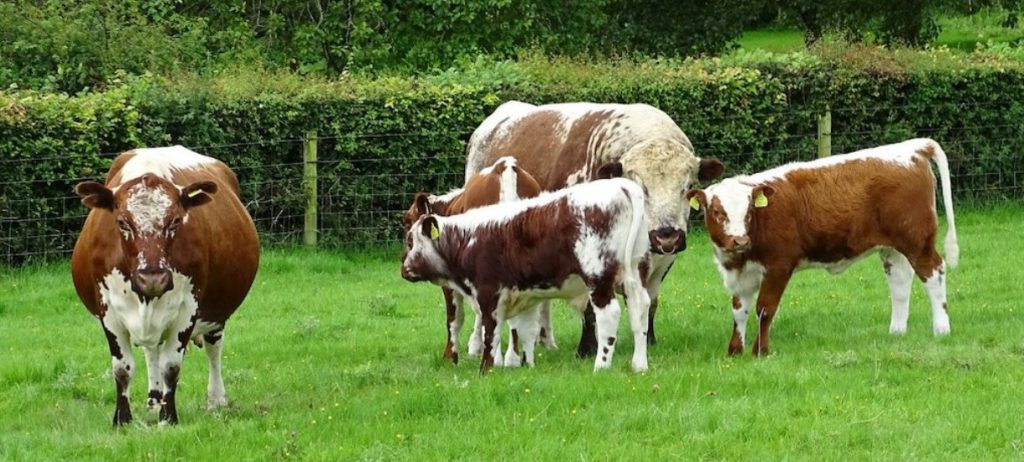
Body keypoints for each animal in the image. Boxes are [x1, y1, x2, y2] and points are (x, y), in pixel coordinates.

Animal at [71, 146, 260, 426]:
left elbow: (171, 366)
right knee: (152, 351)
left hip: (217, 310)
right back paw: (153, 400)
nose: (153, 278)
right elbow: (123, 368)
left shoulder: (188, 310)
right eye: (122, 222)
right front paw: (122, 419)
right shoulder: (109, 312)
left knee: (213, 348)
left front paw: (168, 418)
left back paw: (216, 400)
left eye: (175, 222)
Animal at [401, 178, 652, 373]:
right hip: (634, 271)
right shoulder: (526, 295)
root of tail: (621, 185)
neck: (468, 239)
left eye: (410, 240)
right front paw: (526, 365)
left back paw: (601, 366)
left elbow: (490, 332)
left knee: (609, 315)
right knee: (640, 310)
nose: (403, 269)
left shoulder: (489, 294)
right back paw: (639, 364)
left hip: (598, 277)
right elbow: (526, 330)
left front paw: (486, 369)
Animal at [403, 157, 548, 366]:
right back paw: (512, 358)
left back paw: (500, 359)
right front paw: (476, 348)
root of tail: (505, 166)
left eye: (407, 223)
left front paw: (451, 356)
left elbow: (455, 318)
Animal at [465, 101, 725, 356]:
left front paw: (648, 340)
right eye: (640, 188)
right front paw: (586, 349)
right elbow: (590, 308)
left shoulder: (662, 262)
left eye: (688, 187)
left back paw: (544, 340)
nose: (666, 236)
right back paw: (477, 345)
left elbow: (650, 302)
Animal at [685, 138, 958, 357]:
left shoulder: (778, 266)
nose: (740, 240)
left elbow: (765, 309)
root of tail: (914, 147)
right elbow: (739, 311)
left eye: (749, 212)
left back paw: (941, 329)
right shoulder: (742, 273)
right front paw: (734, 351)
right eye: (717, 212)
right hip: (892, 247)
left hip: (918, 241)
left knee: (934, 273)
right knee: (900, 283)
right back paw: (897, 332)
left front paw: (760, 351)